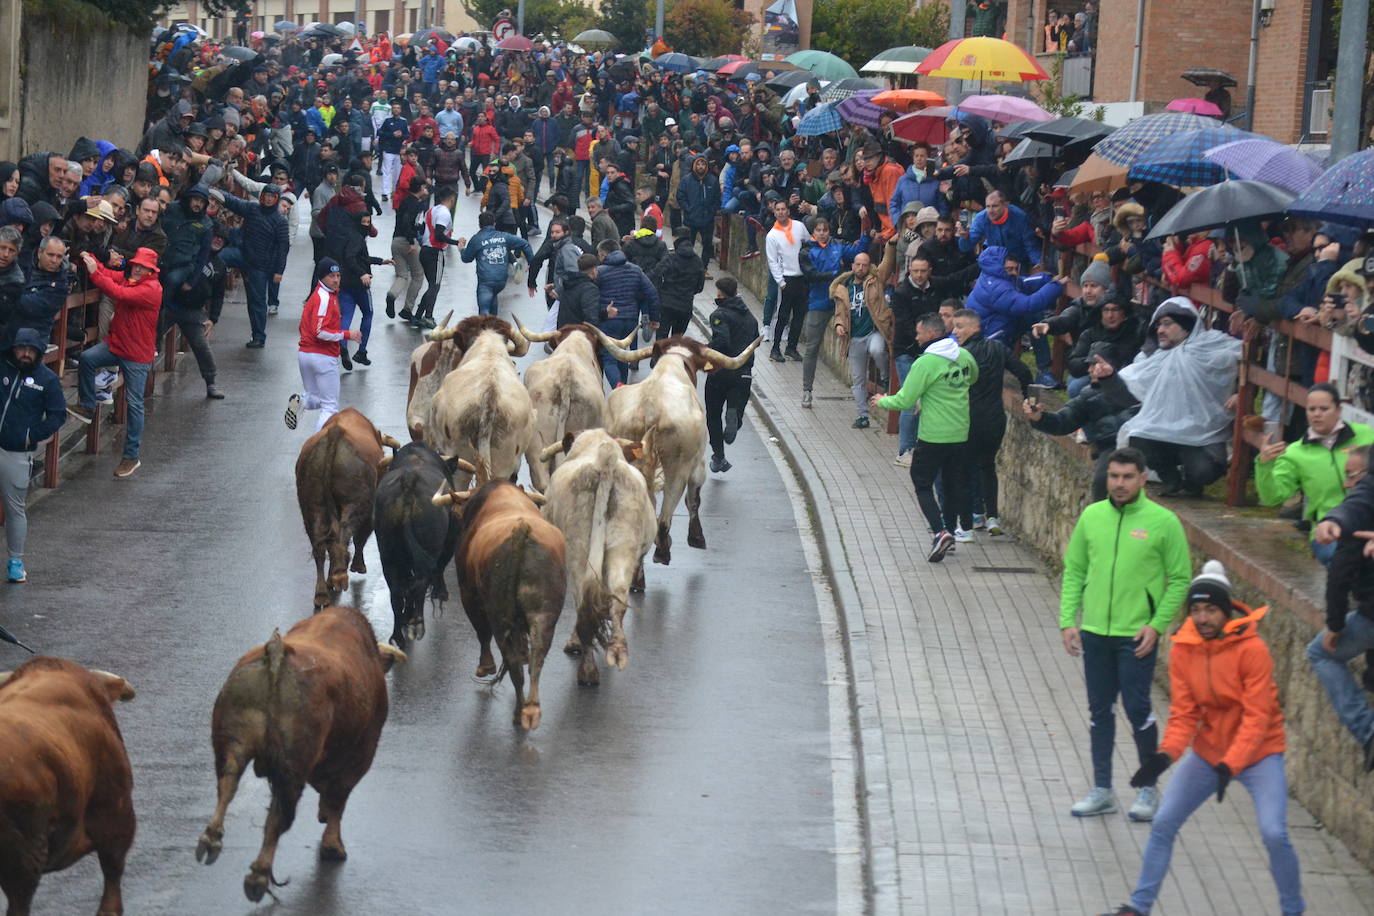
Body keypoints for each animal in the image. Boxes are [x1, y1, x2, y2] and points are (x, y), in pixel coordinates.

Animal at [196, 604, 403, 906]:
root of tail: (278, 652)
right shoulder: (359, 757)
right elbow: (337, 801)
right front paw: (333, 846)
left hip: (233, 745)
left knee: (228, 783)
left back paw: (211, 839)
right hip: (293, 768)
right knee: (279, 815)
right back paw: (258, 877)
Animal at [291, 409, 395, 609]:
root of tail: (335, 433)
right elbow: (360, 538)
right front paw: (358, 566)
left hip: (311, 507)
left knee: (320, 547)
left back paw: (322, 592)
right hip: (356, 504)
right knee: (344, 535)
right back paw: (340, 575)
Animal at [439, 480, 568, 730]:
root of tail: (522, 530)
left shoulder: (468, 594)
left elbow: (481, 632)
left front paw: (485, 667)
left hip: (498, 614)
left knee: (512, 660)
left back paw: (520, 713)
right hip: (544, 614)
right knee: (537, 657)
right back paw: (531, 708)